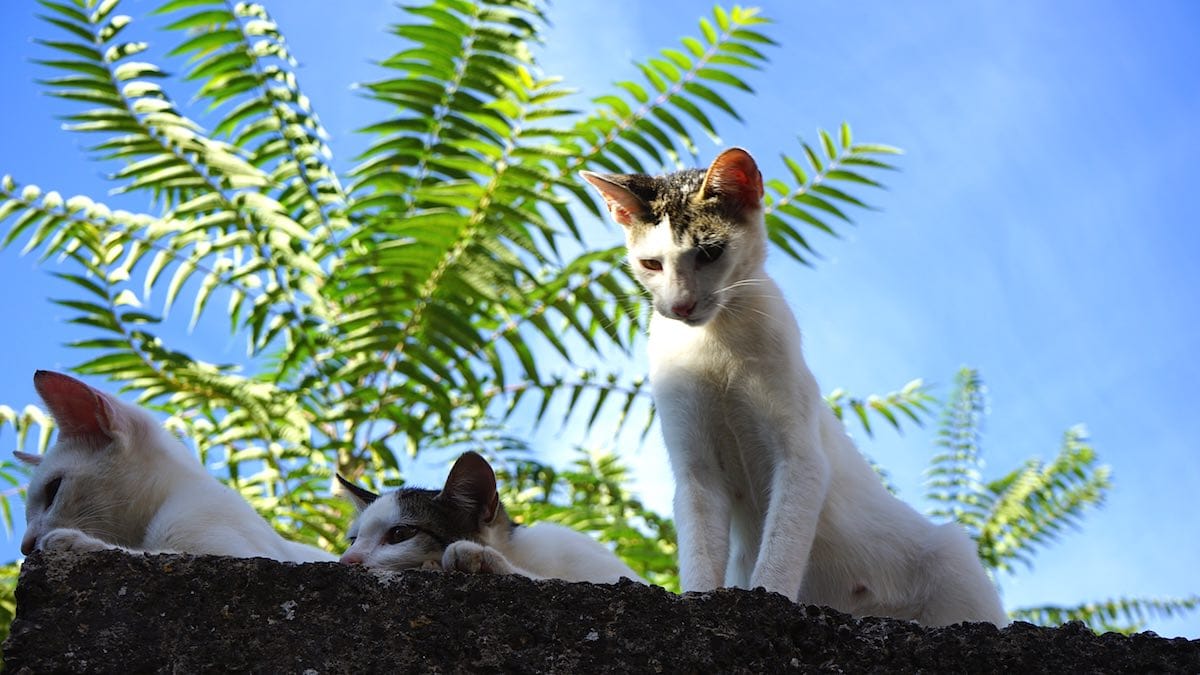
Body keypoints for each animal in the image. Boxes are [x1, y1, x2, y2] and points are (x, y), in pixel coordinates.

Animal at [578, 149, 1003, 624]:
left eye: (709, 252)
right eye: (651, 264)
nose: (680, 305)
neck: (716, 341)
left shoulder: (801, 458)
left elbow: (781, 549)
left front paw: (768, 597)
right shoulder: (696, 471)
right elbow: (700, 552)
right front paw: (699, 597)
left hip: (955, 561)